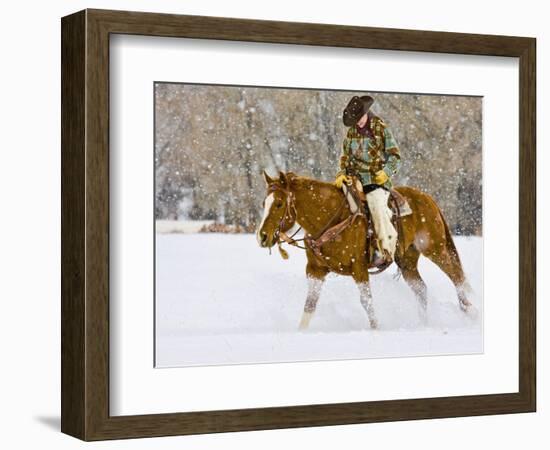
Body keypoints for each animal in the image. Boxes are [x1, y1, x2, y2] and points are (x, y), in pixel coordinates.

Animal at [256, 171, 476, 328]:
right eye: (264, 202)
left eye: (279, 203)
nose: (262, 236)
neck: (332, 219)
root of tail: (429, 199)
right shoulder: (315, 270)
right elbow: (310, 305)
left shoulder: (359, 269)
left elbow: (367, 302)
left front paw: (376, 329)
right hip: (407, 261)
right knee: (421, 289)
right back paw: (424, 325)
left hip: (435, 249)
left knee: (456, 276)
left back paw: (471, 313)